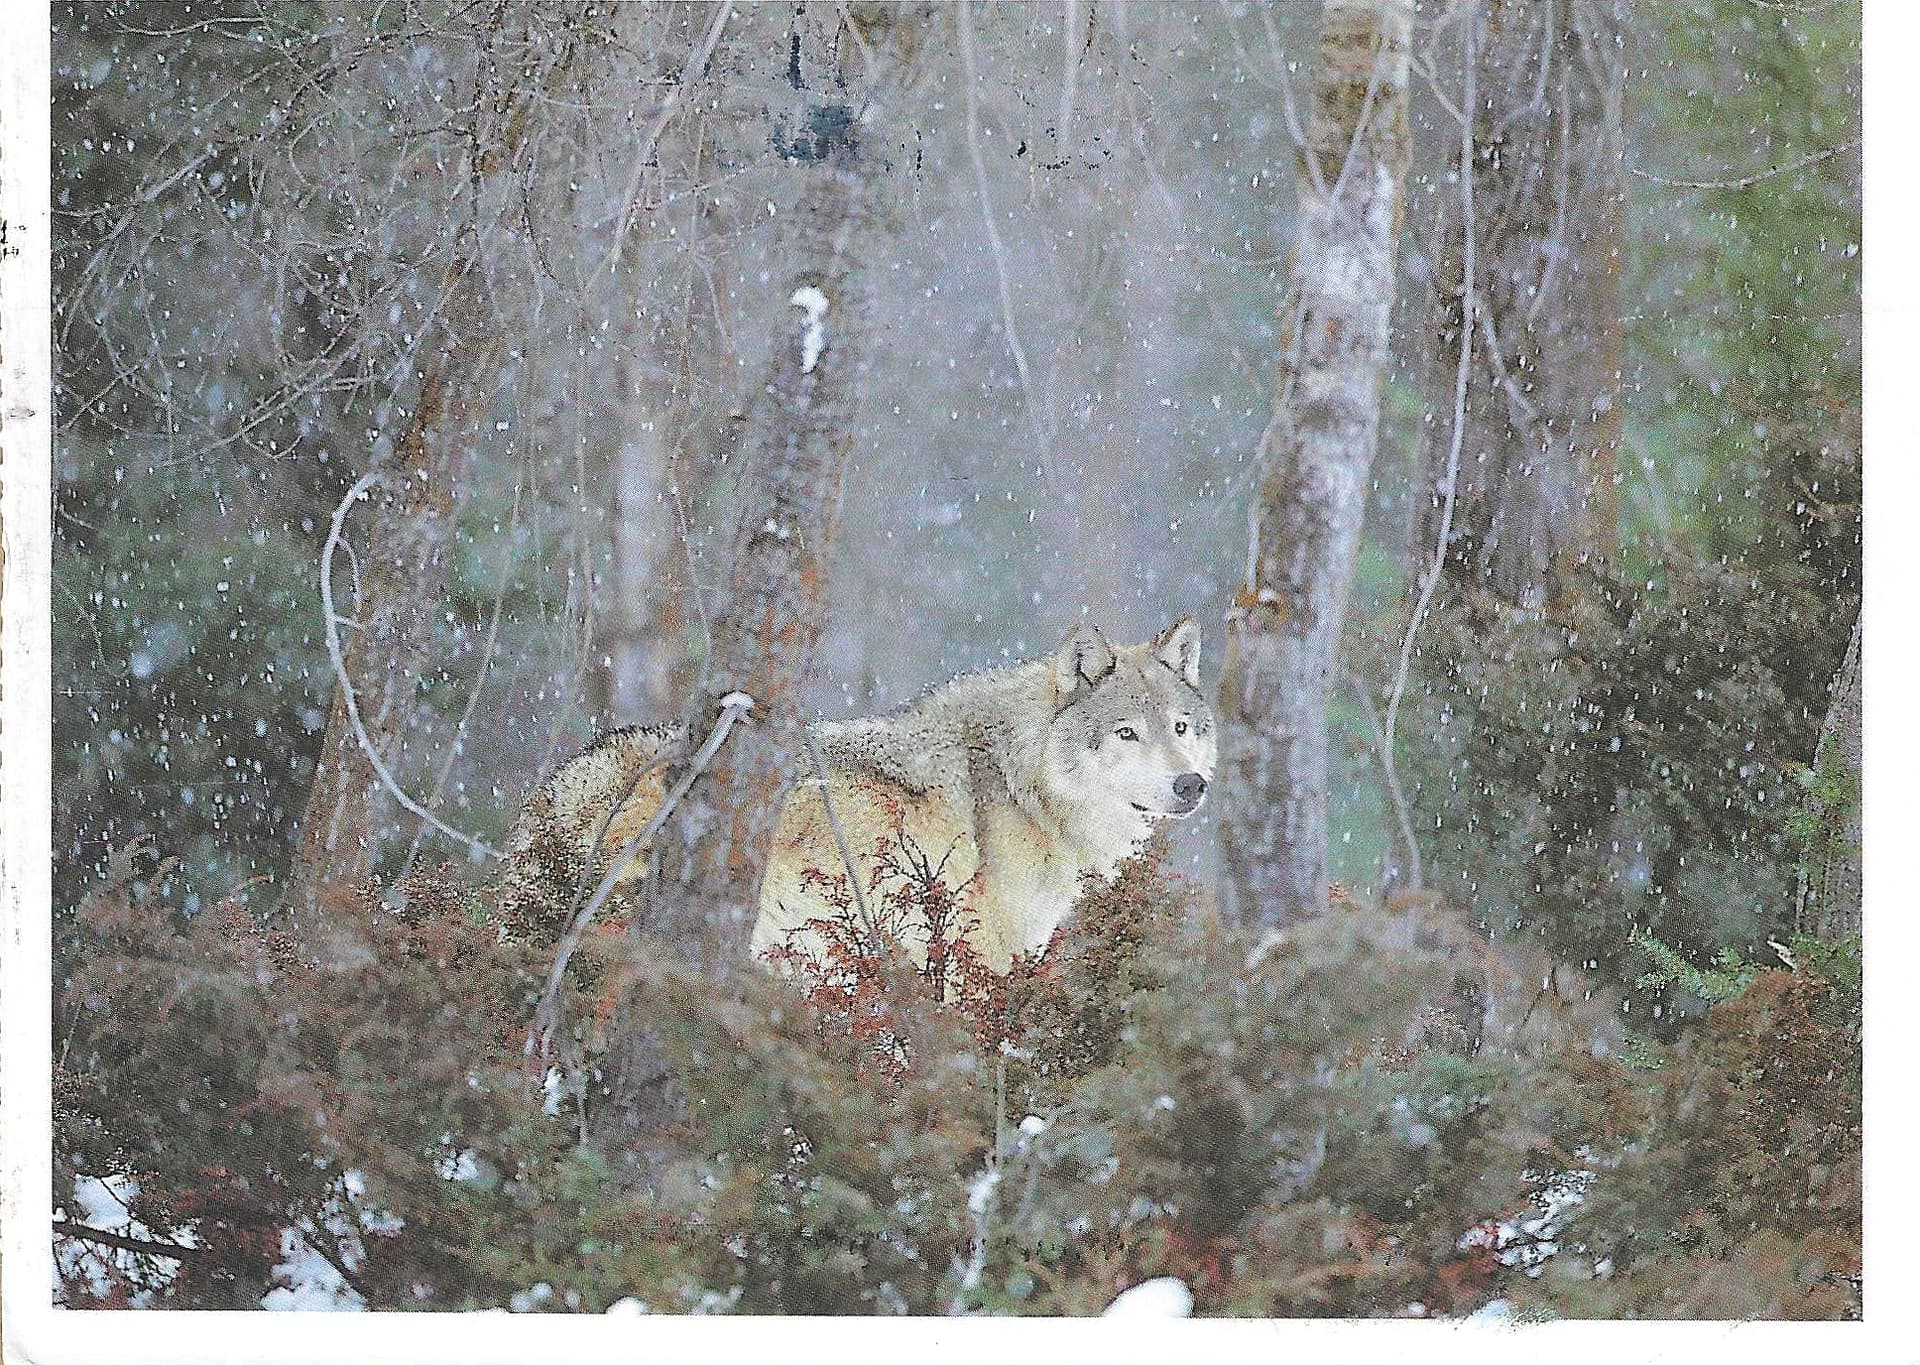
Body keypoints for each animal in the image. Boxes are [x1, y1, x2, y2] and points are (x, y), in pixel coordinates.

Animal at [498, 617, 1217, 975]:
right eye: (1126, 733)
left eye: (1181, 728)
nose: (1191, 783)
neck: (1020, 787)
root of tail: (565, 785)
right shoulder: (979, 966)